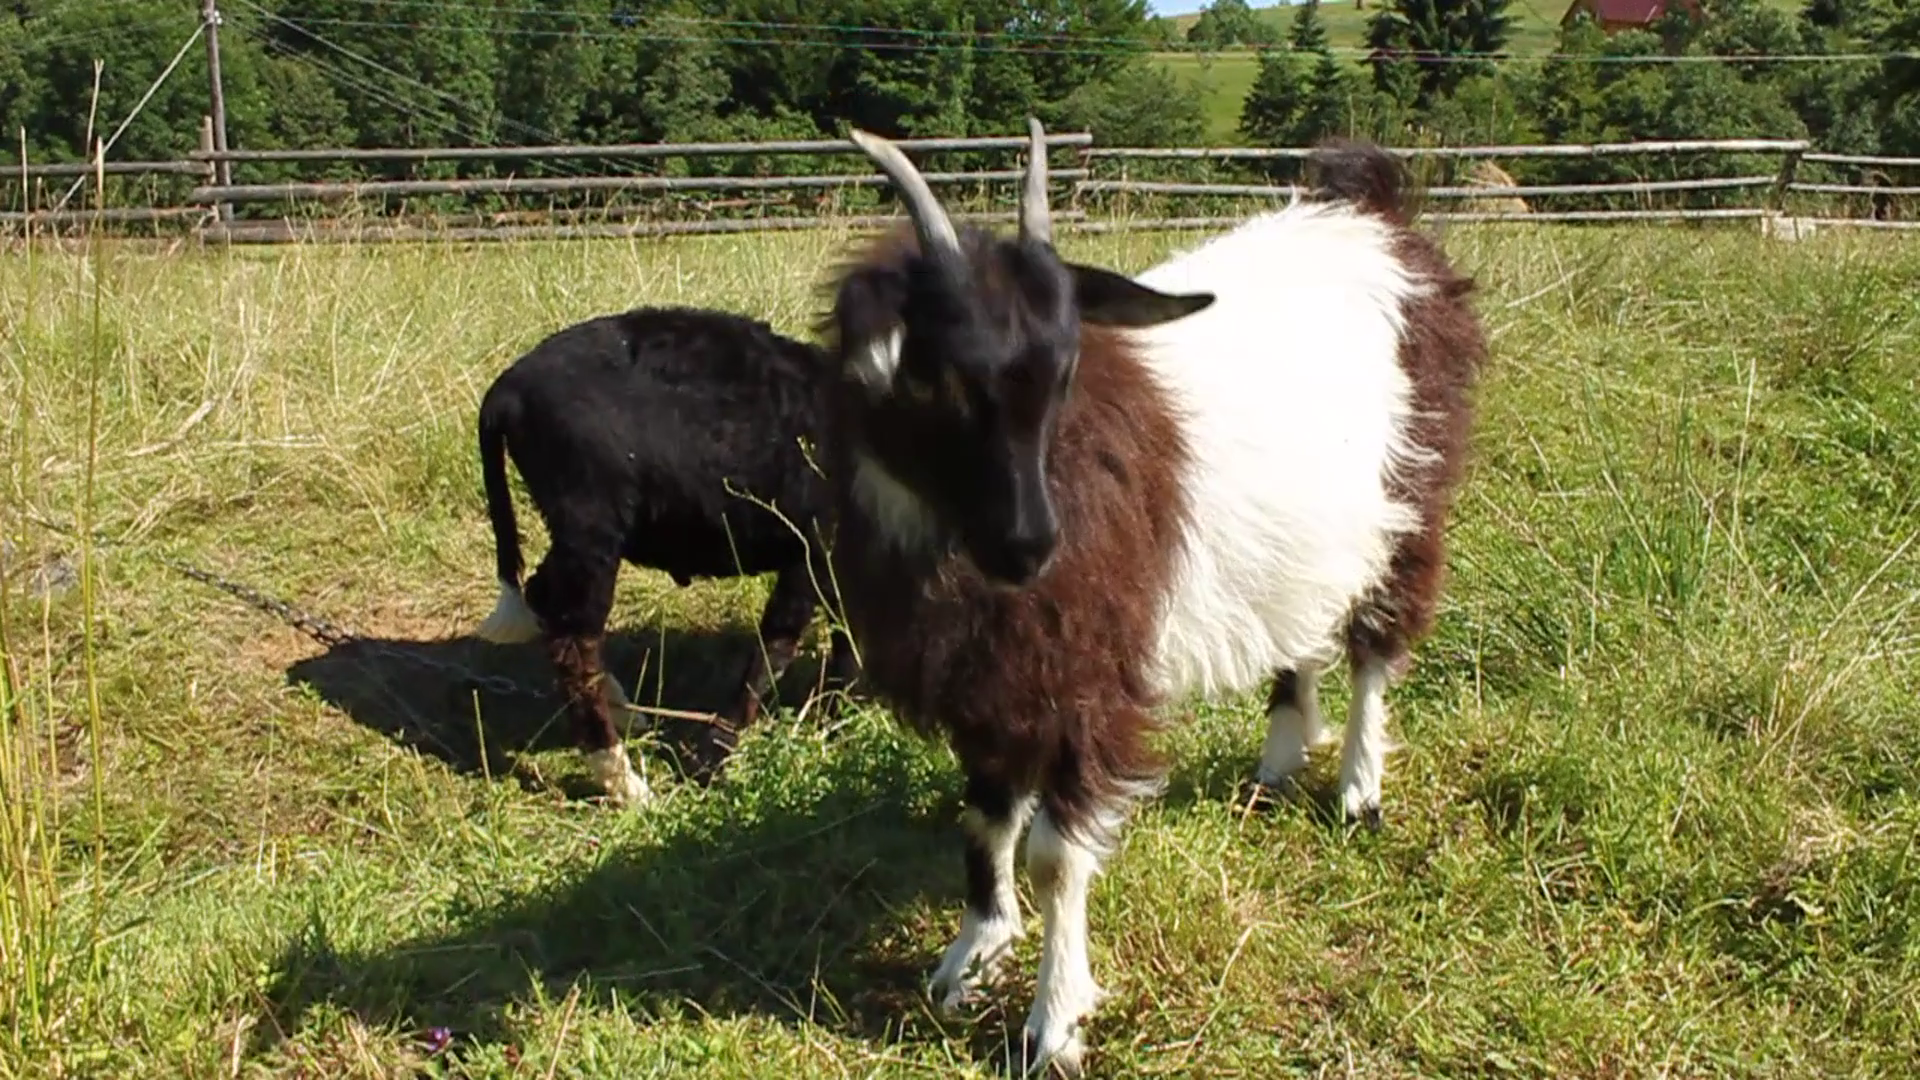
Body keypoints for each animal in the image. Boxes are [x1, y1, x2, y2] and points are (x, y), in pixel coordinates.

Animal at [473, 305, 857, 806]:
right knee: (572, 640)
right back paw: (625, 781)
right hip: (591, 528)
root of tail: (505, 392)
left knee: (544, 598)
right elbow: (774, 648)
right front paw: (714, 757)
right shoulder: (814, 549)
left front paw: (842, 717)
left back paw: (625, 713)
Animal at [814, 119, 1487, 1075]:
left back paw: (1359, 791)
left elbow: (1055, 856)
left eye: (1066, 371)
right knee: (1300, 637)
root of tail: (1372, 215)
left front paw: (1054, 1021)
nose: (1031, 545)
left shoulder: (1089, 675)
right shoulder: (992, 680)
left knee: (1374, 646)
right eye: (929, 377)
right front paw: (969, 958)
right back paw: (1280, 761)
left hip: (1410, 502)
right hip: (1302, 541)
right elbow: (984, 820)